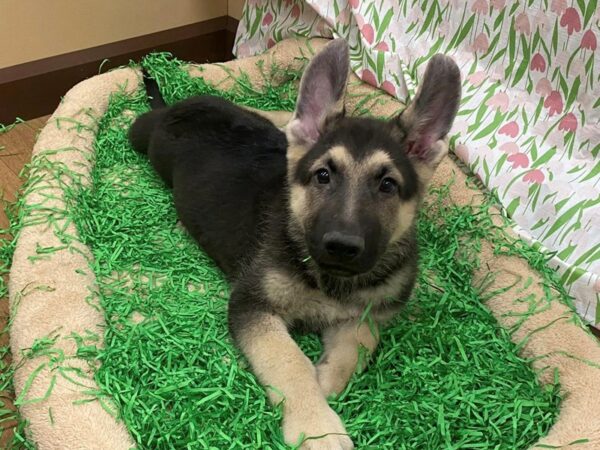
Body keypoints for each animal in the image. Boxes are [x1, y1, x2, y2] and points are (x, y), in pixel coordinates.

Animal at [130, 40, 460, 448]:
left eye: (388, 185)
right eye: (323, 176)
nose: (342, 247)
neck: (331, 282)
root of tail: (177, 106)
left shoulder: (370, 313)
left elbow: (355, 348)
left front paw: (326, 382)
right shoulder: (251, 306)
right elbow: (289, 362)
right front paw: (317, 426)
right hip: (143, 136)